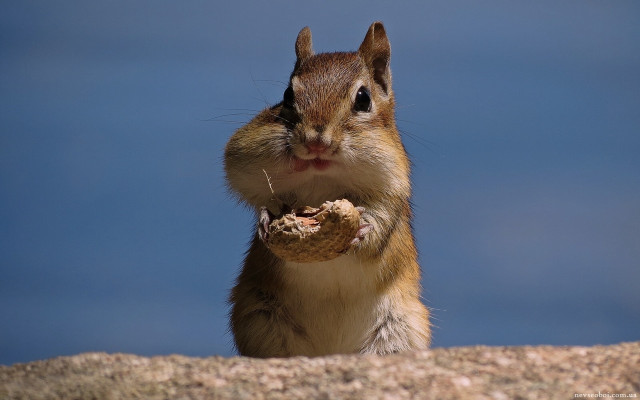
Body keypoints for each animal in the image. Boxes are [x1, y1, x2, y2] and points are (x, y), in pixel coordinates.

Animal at [224, 22, 431, 357]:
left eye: (363, 98)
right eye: (287, 96)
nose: (315, 142)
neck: (323, 178)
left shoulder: (392, 187)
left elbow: (379, 224)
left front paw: (362, 230)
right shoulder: (244, 157)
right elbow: (254, 190)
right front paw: (266, 220)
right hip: (262, 321)